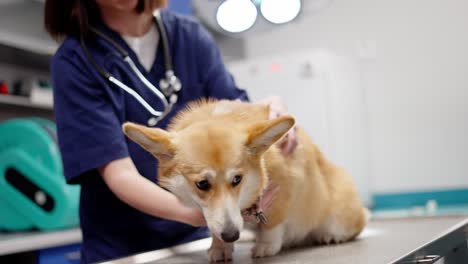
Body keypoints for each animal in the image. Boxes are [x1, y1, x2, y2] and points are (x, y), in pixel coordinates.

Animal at [121, 99, 370, 262]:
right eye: (202, 184)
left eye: (237, 179)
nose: (233, 235)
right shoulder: (215, 215)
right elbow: (216, 226)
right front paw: (221, 246)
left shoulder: (286, 187)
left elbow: (272, 223)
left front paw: (265, 246)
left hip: (339, 217)